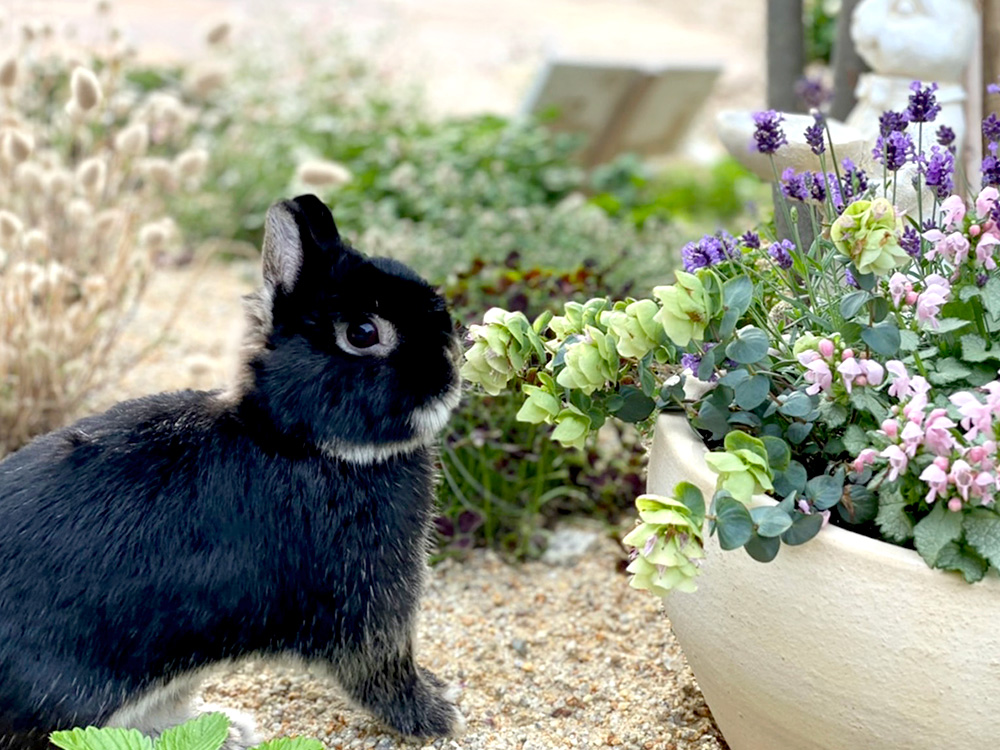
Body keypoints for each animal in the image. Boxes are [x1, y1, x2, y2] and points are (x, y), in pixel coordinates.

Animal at [0, 195, 466, 750]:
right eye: (362, 333)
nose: (451, 366)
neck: (298, 441)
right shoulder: (362, 606)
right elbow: (383, 671)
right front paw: (439, 717)